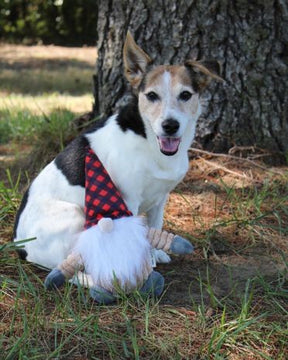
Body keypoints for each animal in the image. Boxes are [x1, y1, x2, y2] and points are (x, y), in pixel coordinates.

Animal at [13, 31, 223, 276]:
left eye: (186, 94)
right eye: (152, 95)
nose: (170, 126)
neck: (148, 141)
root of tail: (22, 249)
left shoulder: (160, 200)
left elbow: (156, 226)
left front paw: (156, 253)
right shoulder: (127, 201)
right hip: (75, 214)